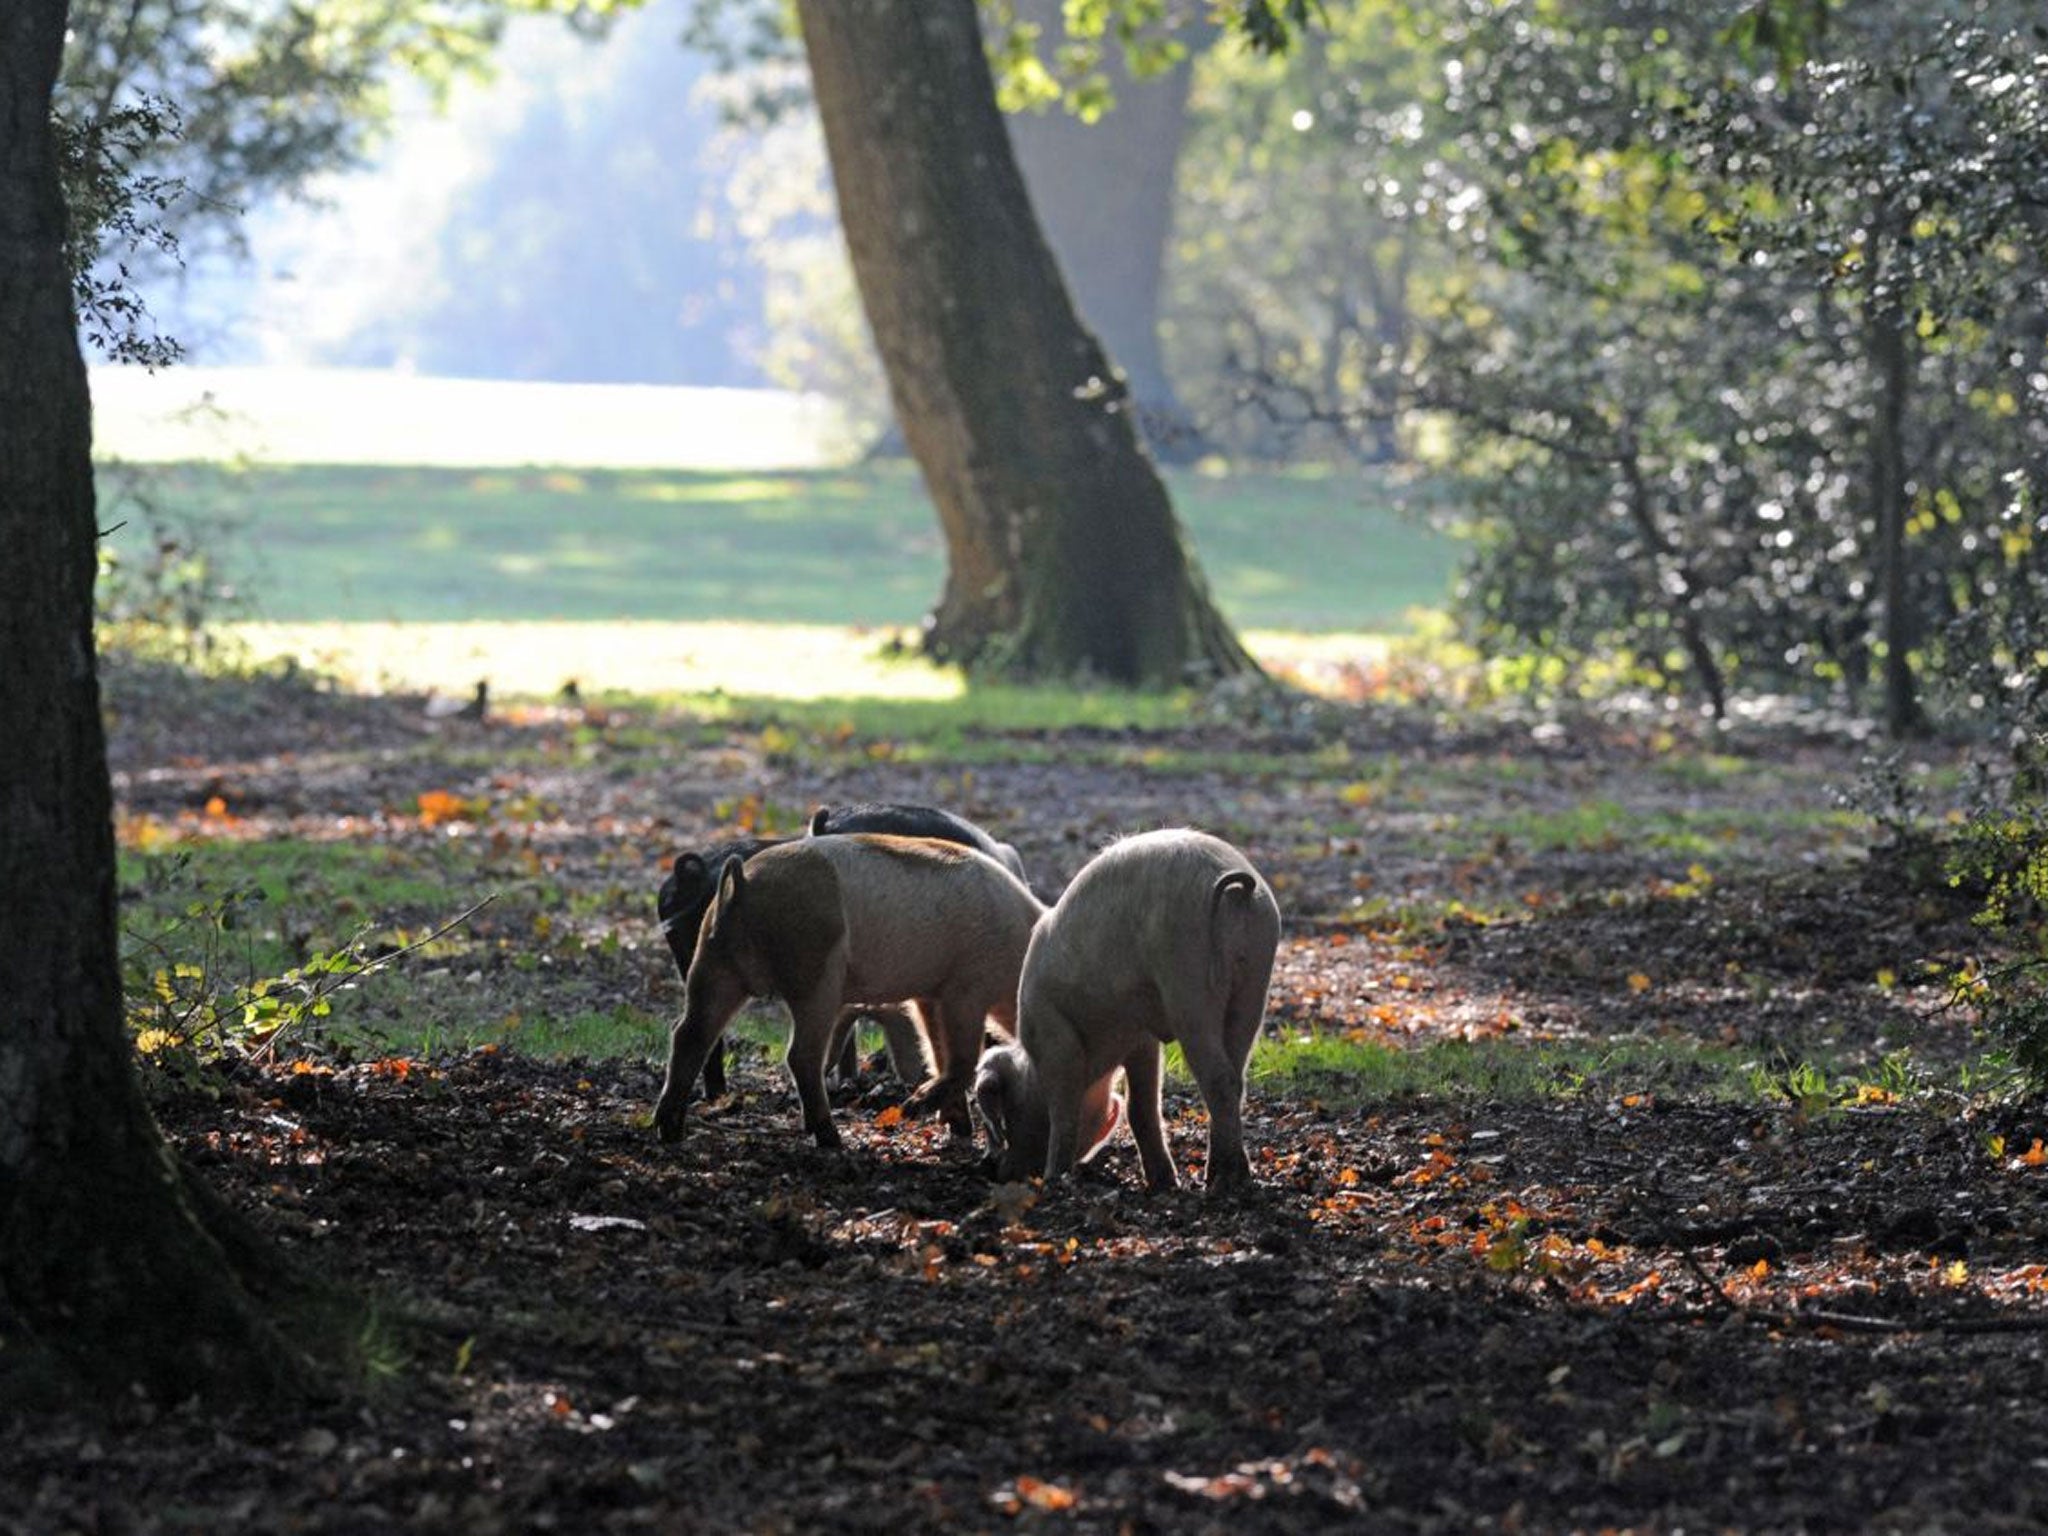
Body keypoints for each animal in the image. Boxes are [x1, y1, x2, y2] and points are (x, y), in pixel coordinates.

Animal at [651, 833, 1046, 1150]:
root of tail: (743, 883)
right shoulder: (965, 989)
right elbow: (961, 1061)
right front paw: (911, 1109)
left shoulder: (929, 995)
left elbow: (937, 1053)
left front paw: (957, 1128)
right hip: (816, 977)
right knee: (801, 1056)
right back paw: (831, 1138)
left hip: (713, 964)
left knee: (689, 1034)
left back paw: (669, 1130)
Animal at [973, 829, 1281, 1194]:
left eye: (1007, 1113)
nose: (994, 1170)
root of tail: (1235, 887)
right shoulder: (1142, 1040)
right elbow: (1141, 1107)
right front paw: (1163, 1184)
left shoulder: (1054, 1036)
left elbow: (1063, 1110)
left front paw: (1053, 1181)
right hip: (1254, 980)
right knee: (1236, 1076)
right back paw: (1222, 1177)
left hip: (1187, 978)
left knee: (1219, 1078)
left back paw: (1224, 1183)